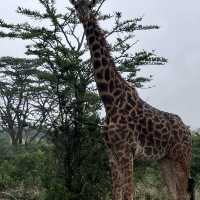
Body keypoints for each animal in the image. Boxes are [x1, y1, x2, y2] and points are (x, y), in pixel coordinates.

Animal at [69, 0, 195, 199]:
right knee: (175, 193)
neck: (110, 100)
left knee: (183, 193)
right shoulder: (111, 152)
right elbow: (116, 193)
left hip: (182, 158)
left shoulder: (126, 150)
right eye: (76, 4)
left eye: (90, 5)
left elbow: (128, 193)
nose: (84, 15)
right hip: (165, 159)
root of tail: (188, 132)